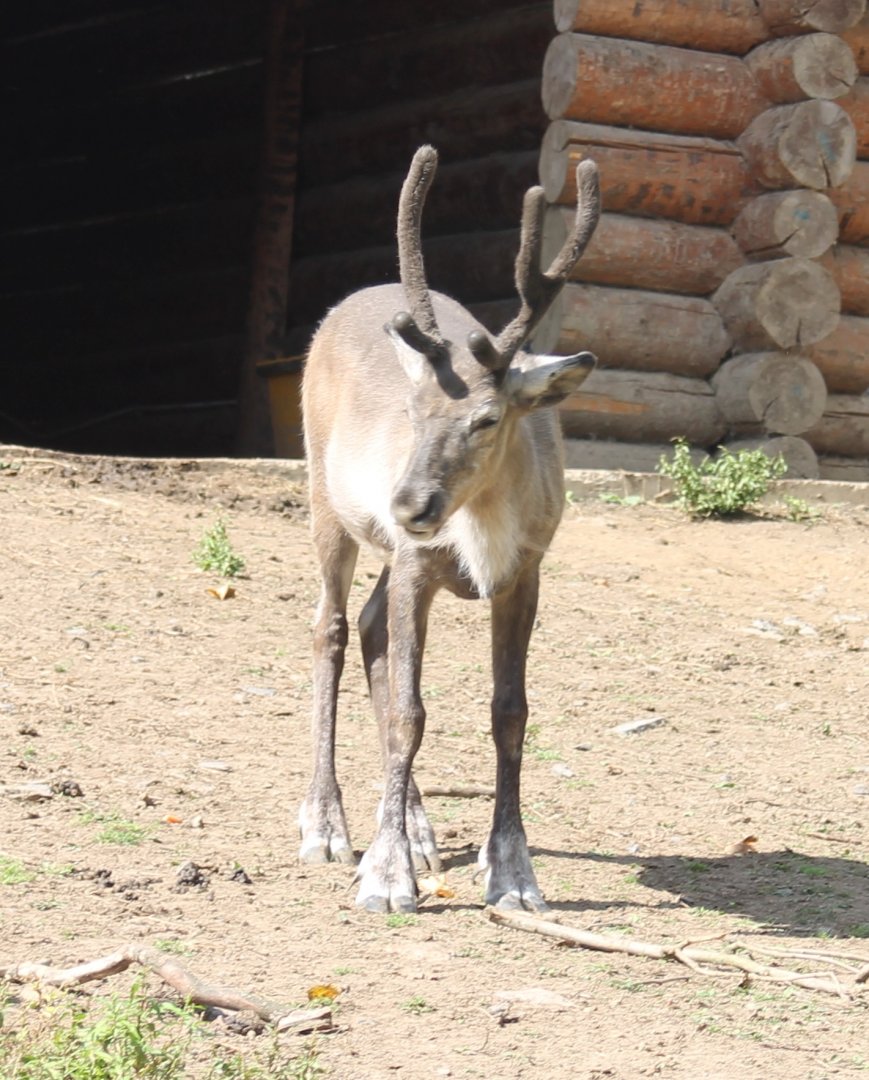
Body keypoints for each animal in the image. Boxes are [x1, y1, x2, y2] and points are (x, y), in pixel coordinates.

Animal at [299, 145, 600, 913]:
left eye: (486, 418)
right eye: (412, 409)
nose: (408, 503)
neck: (483, 531)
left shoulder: (524, 574)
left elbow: (510, 712)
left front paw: (513, 872)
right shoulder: (415, 563)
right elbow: (410, 712)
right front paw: (384, 877)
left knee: (369, 626)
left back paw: (415, 827)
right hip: (325, 504)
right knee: (332, 629)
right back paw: (327, 826)